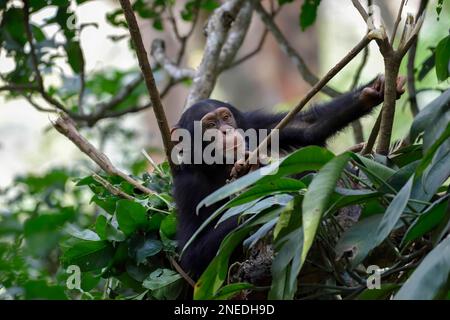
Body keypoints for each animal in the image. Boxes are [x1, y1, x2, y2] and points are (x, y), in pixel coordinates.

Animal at [171, 75, 404, 278]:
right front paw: (268, 194)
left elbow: (307, 127)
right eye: (210, 125)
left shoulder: (256, 125)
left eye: (226, 117)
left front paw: (371, 92)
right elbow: (191, 255)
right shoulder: (188, 186)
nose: (226, 131)